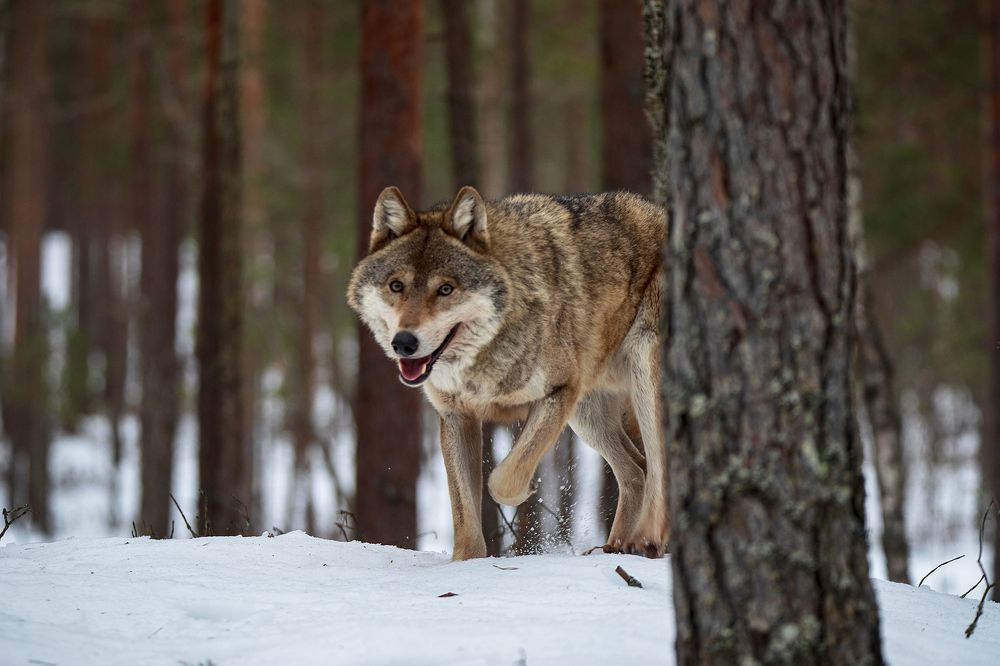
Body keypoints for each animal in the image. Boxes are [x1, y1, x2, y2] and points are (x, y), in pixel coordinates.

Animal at [347, 185, 668, 560]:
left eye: (445, 289)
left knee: (658, 467)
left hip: (639, 378)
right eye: (396, 286)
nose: (404, 342)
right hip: (588, 415)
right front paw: (466, 562)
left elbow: (502, 480)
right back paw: (614, 548)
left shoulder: (559, 393)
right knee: (637, 470)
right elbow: (464, 515)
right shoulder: (456, 416)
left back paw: (647, 542)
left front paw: (525, 494)